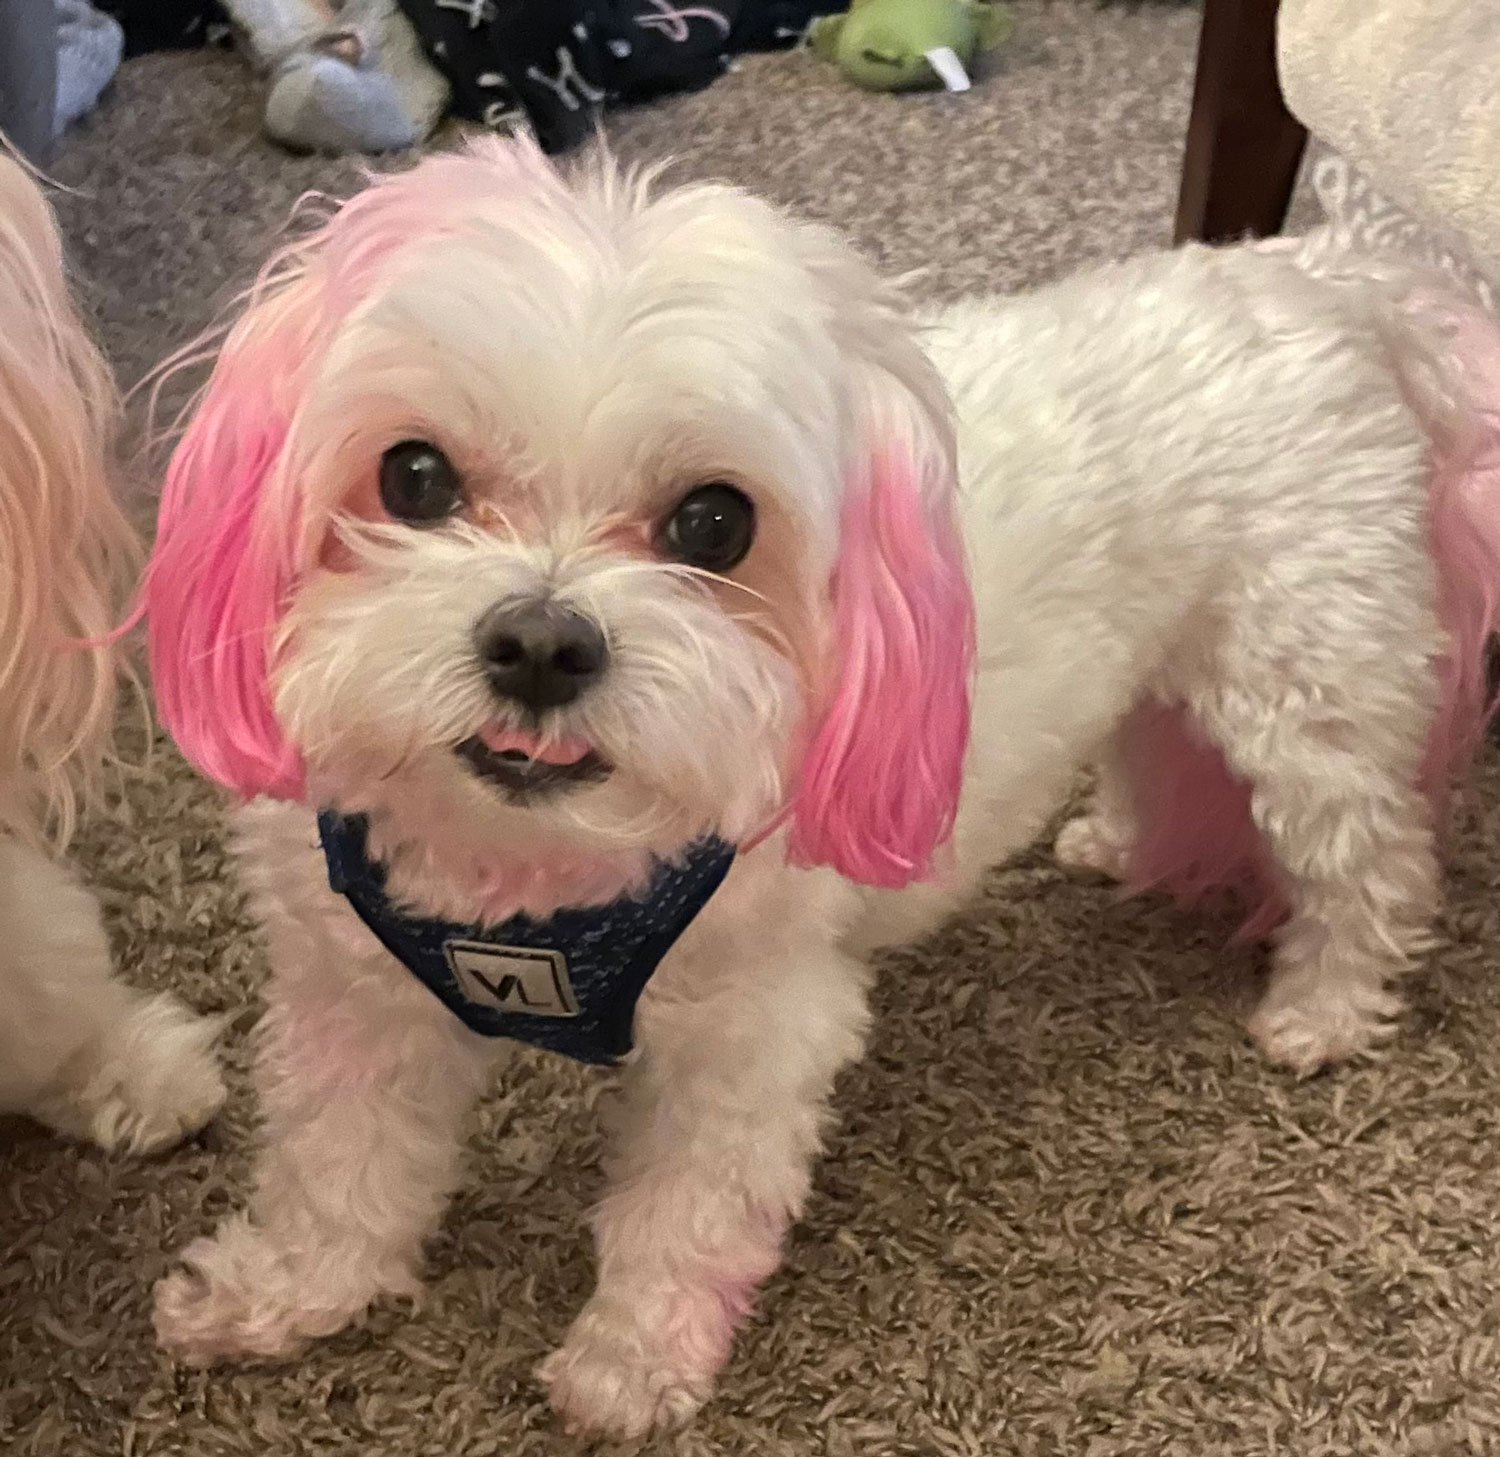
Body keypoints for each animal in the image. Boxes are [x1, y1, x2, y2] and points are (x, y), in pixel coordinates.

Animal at [143, 139, 1500, 1434]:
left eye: (714, 522)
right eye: (414, 477)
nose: (540, 642)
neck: (531, 874)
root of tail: (1316, 272)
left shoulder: (753, 1036)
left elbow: (683, 1213)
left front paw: (632, 1360)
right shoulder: (358, 1001)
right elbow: (337, 1169)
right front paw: (286, 1291)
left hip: (1307, 688)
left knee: (1370, 861)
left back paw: (1324, 1008)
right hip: (1169, 667)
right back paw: (1114, 839)